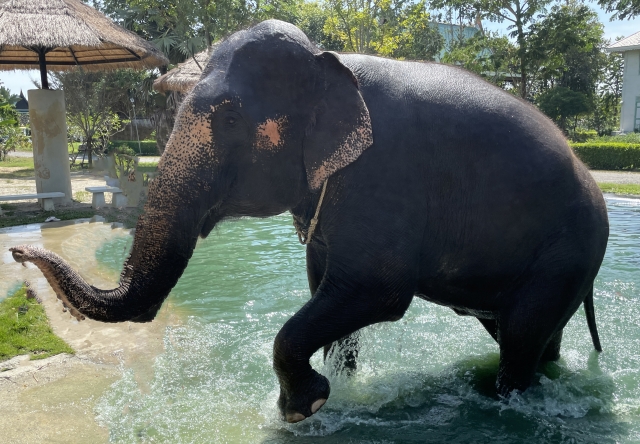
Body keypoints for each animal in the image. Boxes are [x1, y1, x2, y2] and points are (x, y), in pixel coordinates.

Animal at [10, 20, 608, 423]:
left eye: (231, 119)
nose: (18, 251)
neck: (330, 61)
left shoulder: (384, 173)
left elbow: (377, 289)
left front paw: (304, 408)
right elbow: (325, 285)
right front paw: (340, 389)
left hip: (571, 251)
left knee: (523, 332)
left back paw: (505, 402)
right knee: (524, 332)